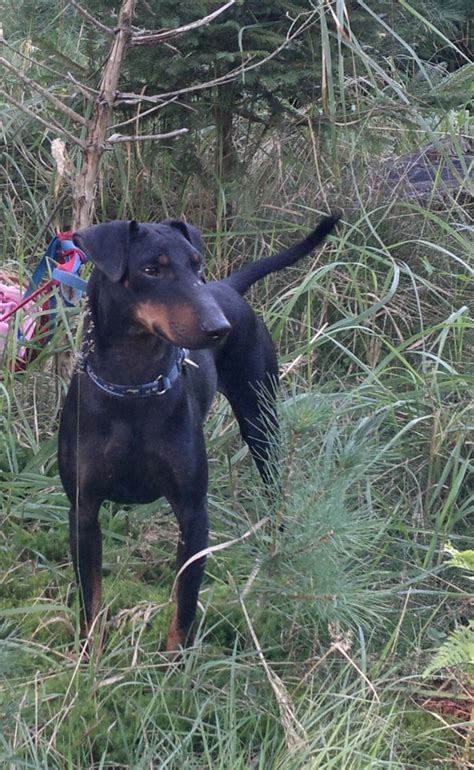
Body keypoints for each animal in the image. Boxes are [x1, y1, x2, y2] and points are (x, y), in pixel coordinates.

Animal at [58, 212, 340, 648]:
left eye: (196, 264)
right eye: (151, 270)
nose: (218, 328)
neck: (133, 386)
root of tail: (228, 288)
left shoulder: (193, 513)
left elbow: (184, 606)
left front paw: (174, 663)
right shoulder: (83, 510)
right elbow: (91, 601)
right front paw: (91, 658)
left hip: (260, 421)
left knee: (274, 486)